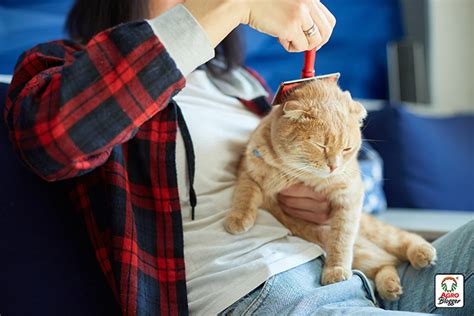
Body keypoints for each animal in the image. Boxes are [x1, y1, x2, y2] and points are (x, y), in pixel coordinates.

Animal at [223, 79, 436, 302]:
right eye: (320, 145)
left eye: (346, 149)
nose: (334, 166)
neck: (294, 172)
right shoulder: (247, 168)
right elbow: (245, 193)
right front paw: (238, 218)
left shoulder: (349, 196)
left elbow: (340, 239)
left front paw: (335, 269)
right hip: (363, 253)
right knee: (386, 262)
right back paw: (390, 286)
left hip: (375, 234)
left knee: (403, 240)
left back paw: (421, 253)